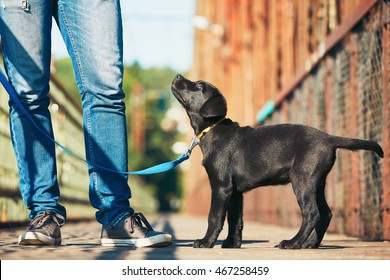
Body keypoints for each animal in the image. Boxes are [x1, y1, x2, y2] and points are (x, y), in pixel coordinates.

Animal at [171, 74, 384, 249]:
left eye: (199, 85)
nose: (178, 75)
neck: (213, 129)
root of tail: (329, 138)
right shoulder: (235, 191)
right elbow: (235, 219)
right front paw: (232, 244)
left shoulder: (221, 186)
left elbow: (214, 217)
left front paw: (206, 242)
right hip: (317, 182)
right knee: (325, 213)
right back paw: (310, 244)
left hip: (302, 180)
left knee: (311, 213)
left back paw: (293, 243)